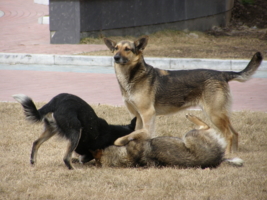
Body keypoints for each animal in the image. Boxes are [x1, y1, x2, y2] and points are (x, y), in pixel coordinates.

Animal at [91, 114, 244, 169]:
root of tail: (220, 158)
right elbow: (126, 137)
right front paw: (119, 141)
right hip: (190, 135)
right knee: (205, 126)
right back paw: (191, 116)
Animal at [103, 36, 264, 154]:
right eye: (116, 48)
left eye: (127, 49)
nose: (116, 57)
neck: (132, 76)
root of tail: (222, 74)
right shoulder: (138, 115)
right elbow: (137, 133)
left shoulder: (147, 114)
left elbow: (141, 133)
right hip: (219, 114)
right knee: (235, 133)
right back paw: (235, 153)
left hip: (215, 114)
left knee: (229, 135)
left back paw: (228, 154)